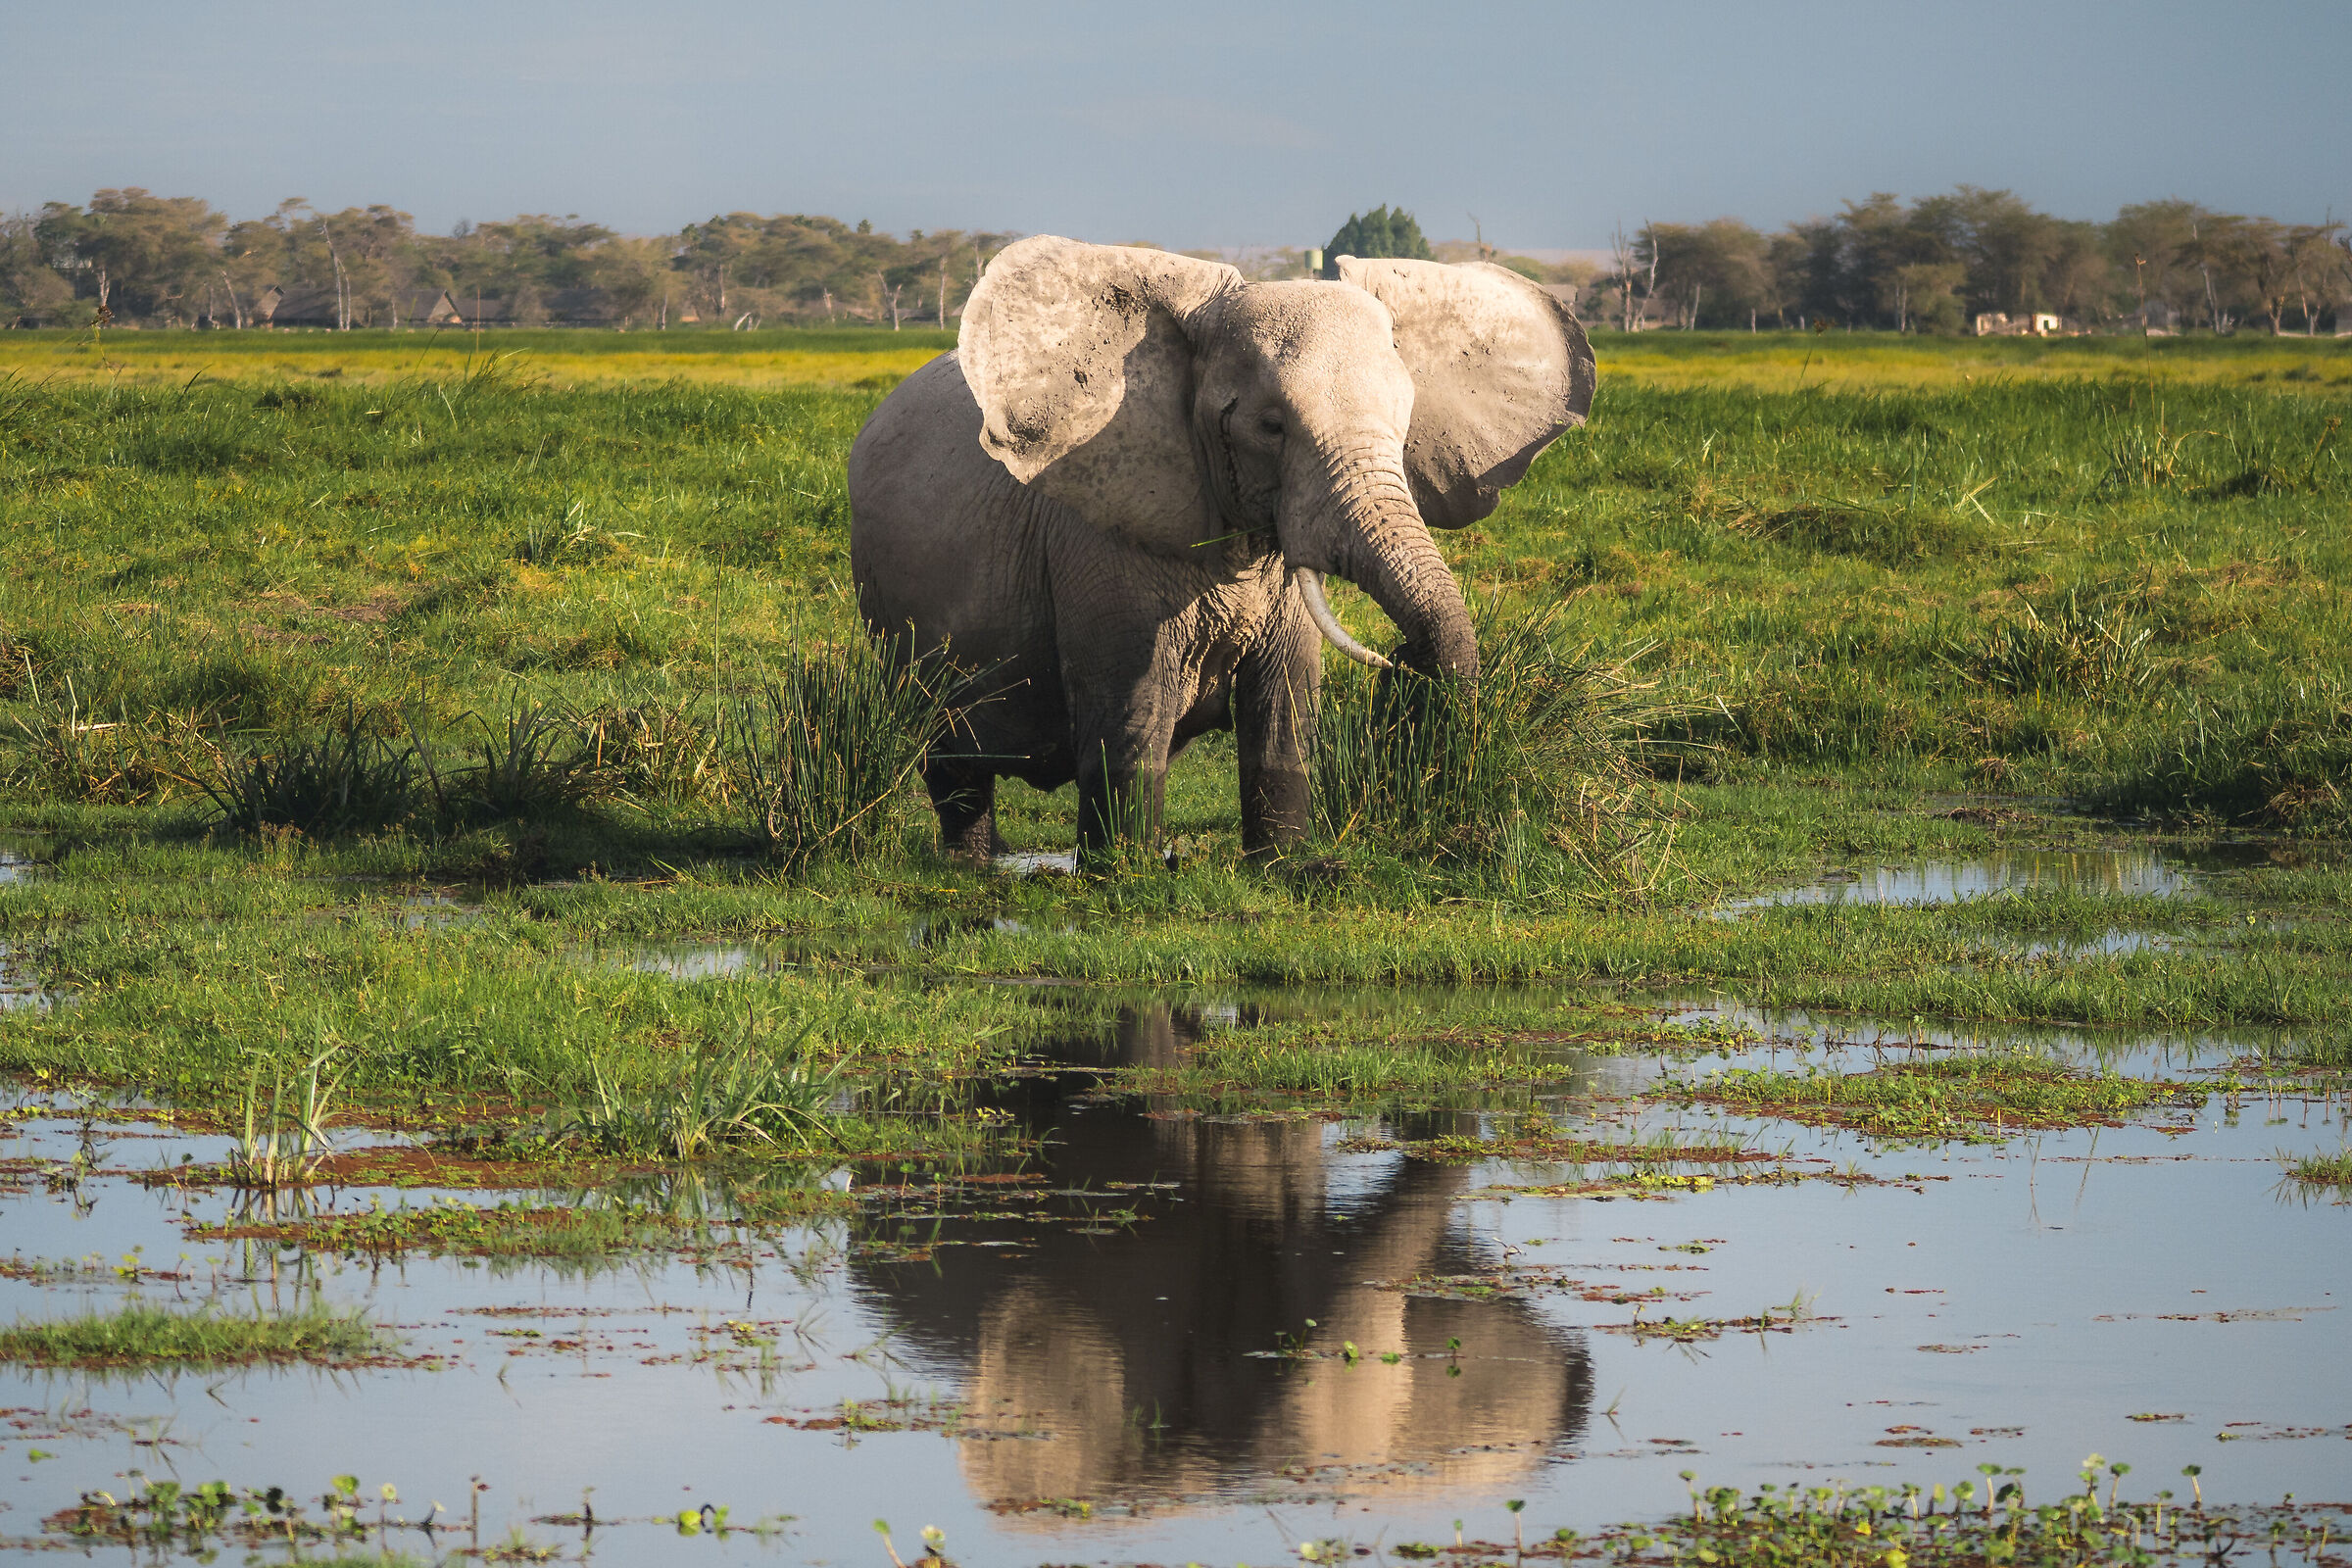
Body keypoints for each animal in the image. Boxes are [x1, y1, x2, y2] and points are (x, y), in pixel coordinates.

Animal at [847, 235, 1596, 863]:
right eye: (1270, 427)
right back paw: (971, 866)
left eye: (1406, 421)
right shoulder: (1102, 534)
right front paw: (1126, 871)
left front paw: (1285, 865)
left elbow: (1285, 699)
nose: (1402, 661)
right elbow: (1134, 699)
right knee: (953, 763)